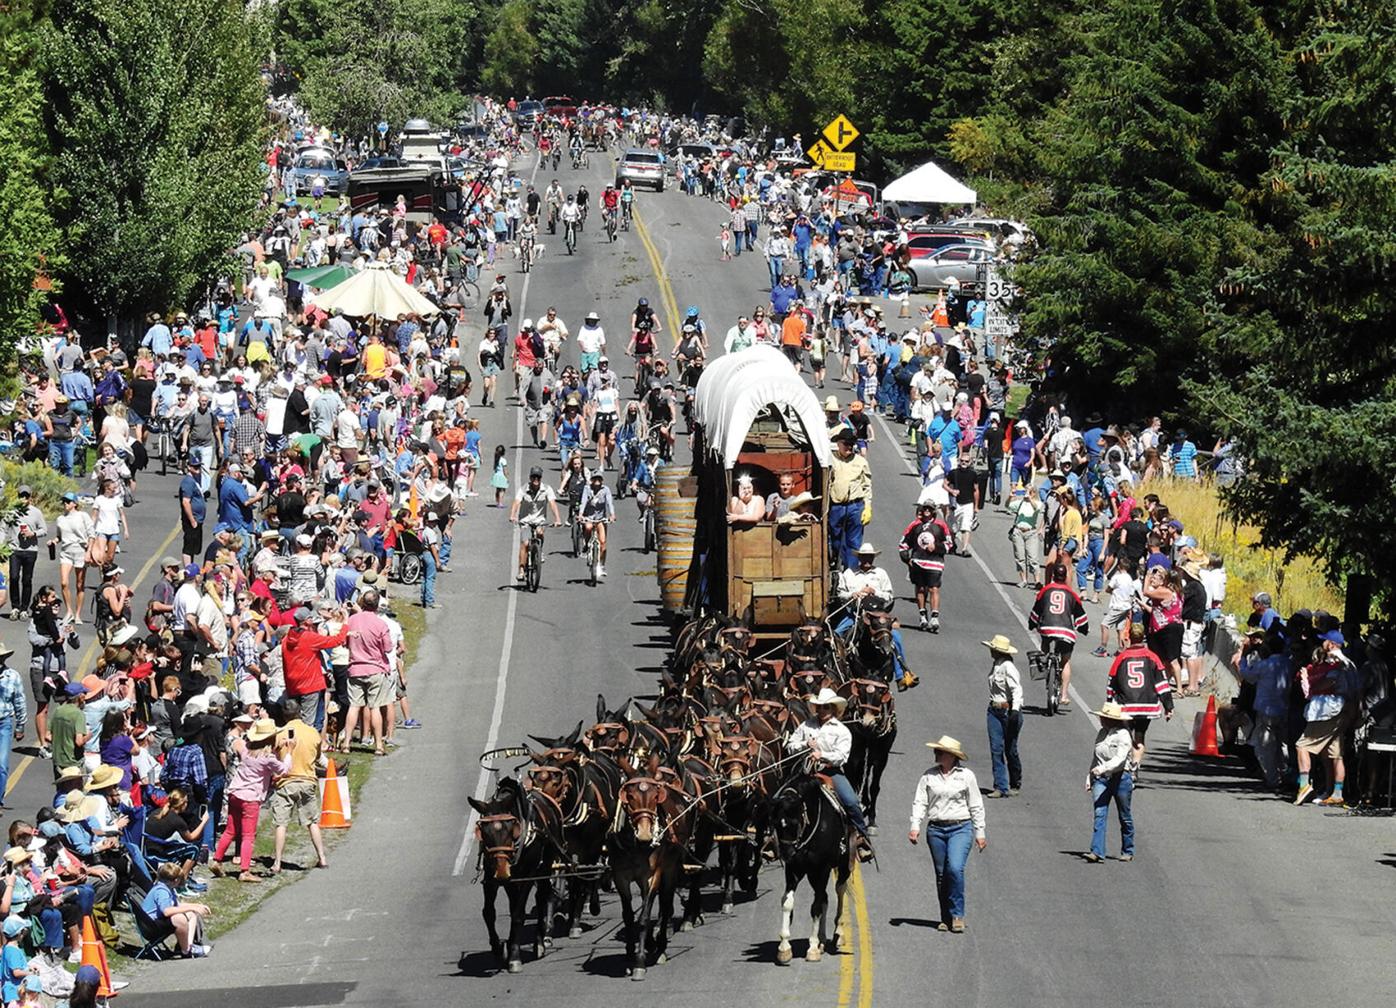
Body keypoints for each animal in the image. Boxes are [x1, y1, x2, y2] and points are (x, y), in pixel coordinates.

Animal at [463, 776, 561, 971]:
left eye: (512, 828)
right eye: (483, 832)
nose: (502, 870)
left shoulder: (528, 875)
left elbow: (517, 914)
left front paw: (514, 956)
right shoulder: (491, 878)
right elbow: (489, 912)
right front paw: (498, 948)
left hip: (545, 866)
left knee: (542, 896)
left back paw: (540, 941)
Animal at [770, 776, 854, 960]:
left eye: (795, 823)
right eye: (776, 823)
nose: (786, 854)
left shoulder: (822, 868)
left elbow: (815, 908)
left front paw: (813, 948)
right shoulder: (794, 869)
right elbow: (787, 902)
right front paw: (784, 948)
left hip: (842, 867)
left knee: (839, 890)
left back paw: (838, 933)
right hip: (812, 875)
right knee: (824, 898)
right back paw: (822, 939)